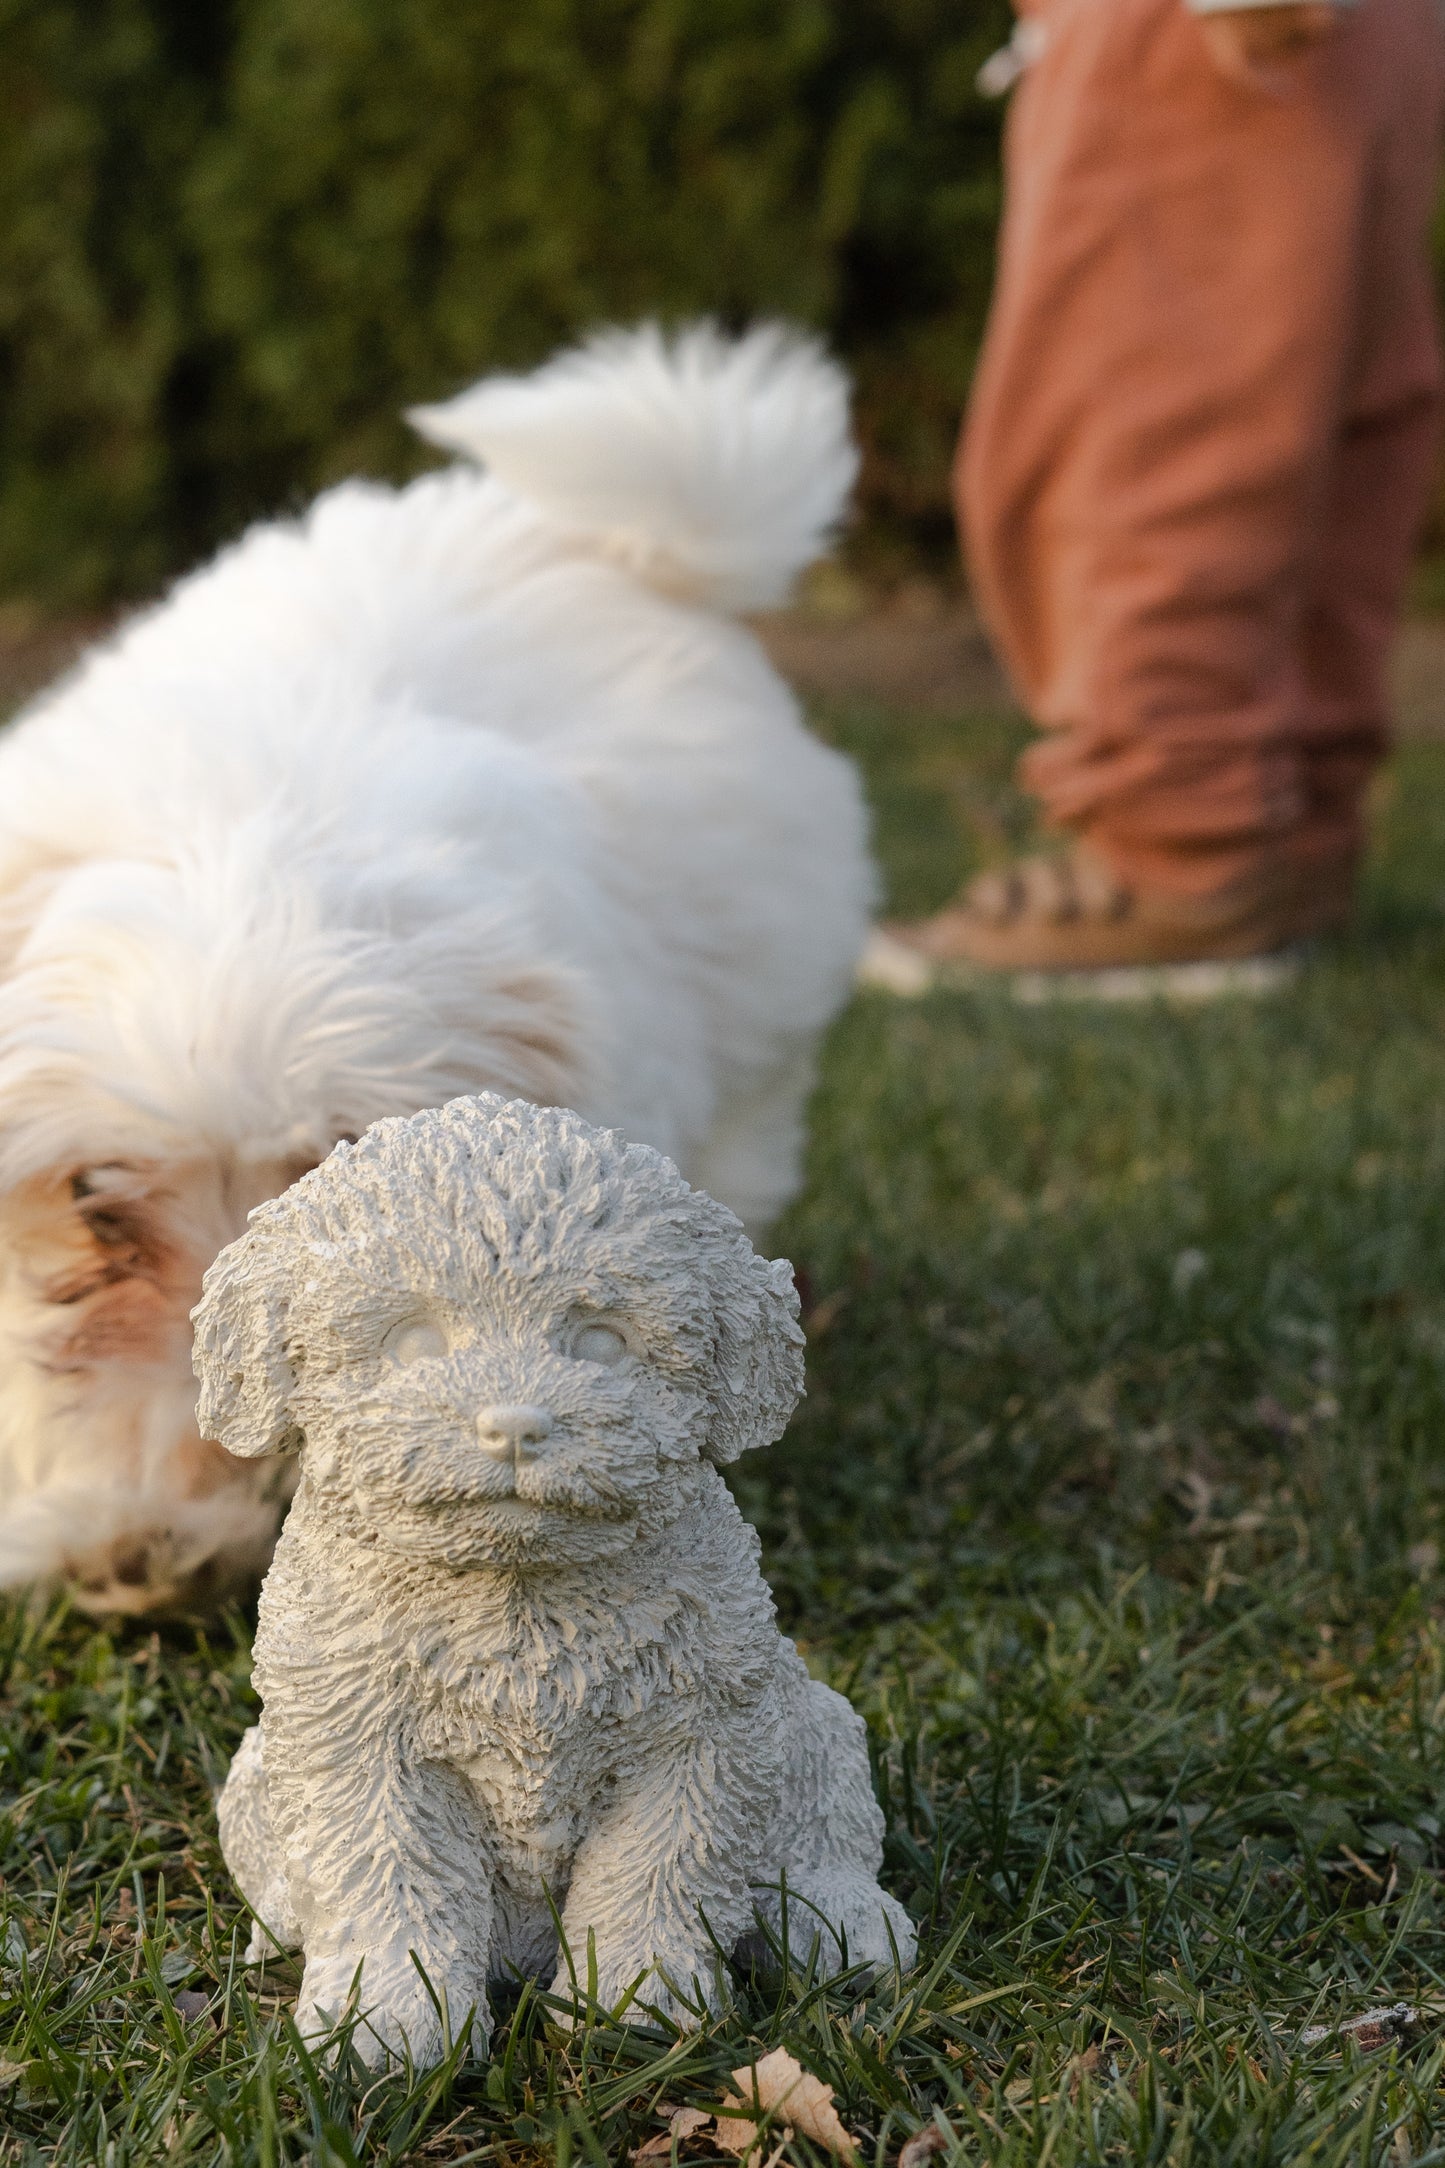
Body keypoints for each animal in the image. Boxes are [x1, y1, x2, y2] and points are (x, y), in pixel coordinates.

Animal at [203, 1101, 914, 2063]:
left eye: (602, 1341)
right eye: (412, 1340)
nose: (514, 1428)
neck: (519, 1603)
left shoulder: (699, 1736)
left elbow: (653, 1877)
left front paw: (639, 2006)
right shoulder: (356, 1748)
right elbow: (388, 1885)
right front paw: (383, 2030)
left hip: (808, 1715)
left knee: (822, 1832)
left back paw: (842, 1930)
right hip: (254, 1770)